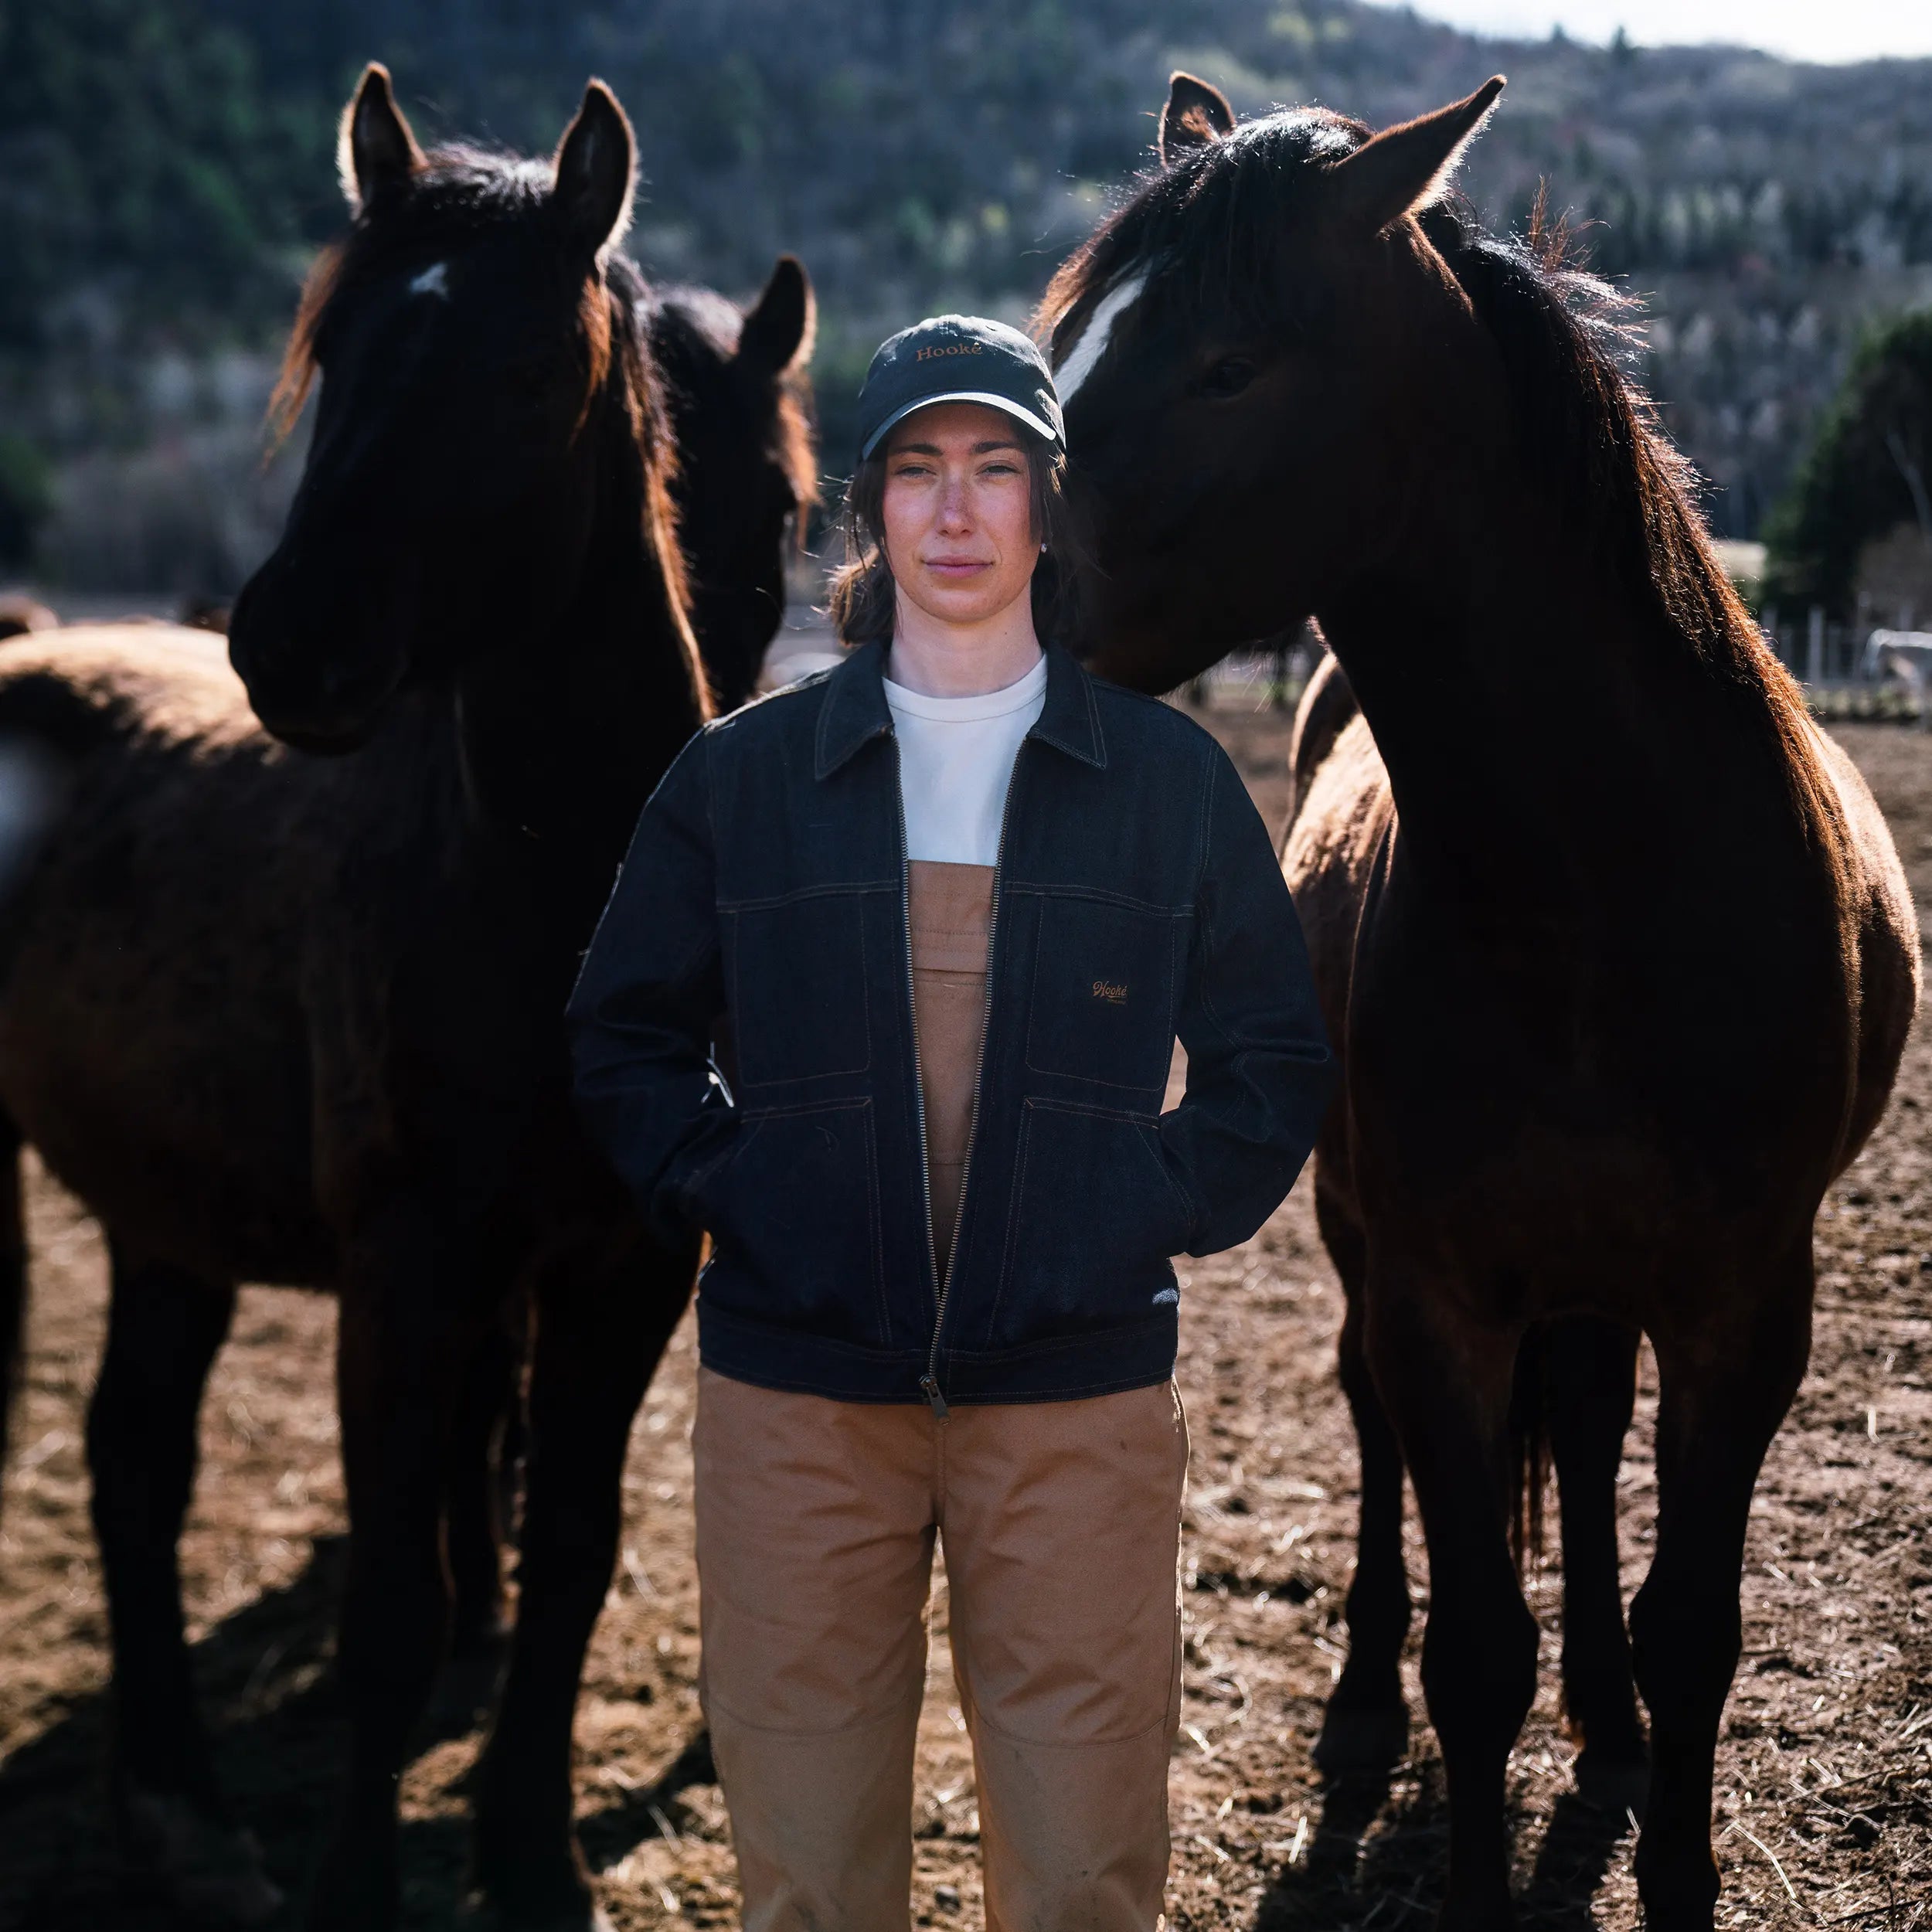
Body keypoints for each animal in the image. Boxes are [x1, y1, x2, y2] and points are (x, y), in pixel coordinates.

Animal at [0, 64, 808, 1932]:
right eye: (342, 352)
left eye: (520, 373)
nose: (292, 646)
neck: (550, 917)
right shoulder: (409, 1265)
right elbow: (393, 1603)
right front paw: (358, 1875)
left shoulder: (622, 1266)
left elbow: (571, 1557)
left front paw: (528, 1853)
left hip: (168, 1219)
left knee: (132, 1462)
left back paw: (177, 1790)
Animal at [1051, 71, 1924, 1932]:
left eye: (1225, 364)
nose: (899, 578)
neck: (1600, 886)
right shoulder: (1438, 1291)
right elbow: (1471, 1651)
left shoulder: (1747, 1305)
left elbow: (1691, 1628)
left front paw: (1662, 1831)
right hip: (1360, 1230)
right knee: (1376, 1432)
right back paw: (1361, 1698)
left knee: (1586, 1447)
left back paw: (1604, 1721)